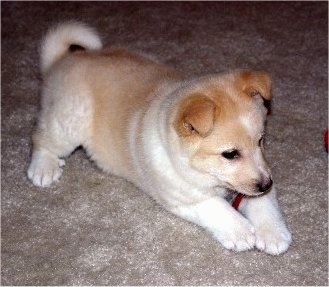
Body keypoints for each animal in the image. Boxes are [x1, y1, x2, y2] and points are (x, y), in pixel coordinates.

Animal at [27, 23, 290, 256]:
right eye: (230, 154)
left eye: (261, 141)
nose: (266, 183)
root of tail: (59, 61)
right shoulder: (182, 197)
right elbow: (216, 207)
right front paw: (241, 231)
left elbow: (264, 203)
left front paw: (274, 234)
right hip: (70, 120)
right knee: (41, 139)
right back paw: (43, 168)